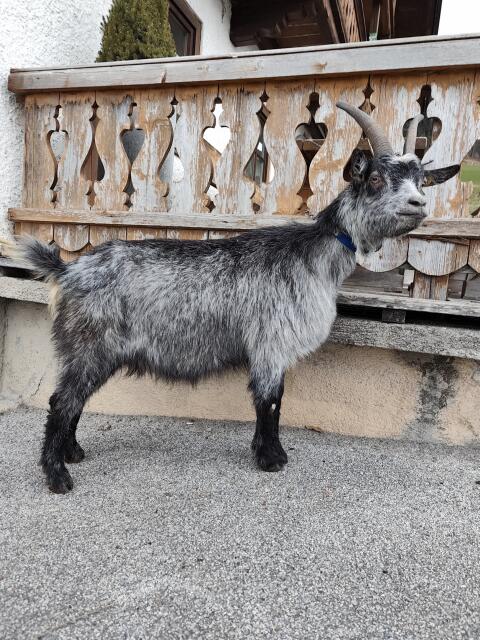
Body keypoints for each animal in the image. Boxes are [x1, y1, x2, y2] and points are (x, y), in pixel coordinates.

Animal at [8, 102, 460, 493]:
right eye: (377, 179)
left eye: (420, 180)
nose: (418, 204)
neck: (313, 253)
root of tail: (67, 270)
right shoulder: (271, 343)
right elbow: (270, 401)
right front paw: (272, 459)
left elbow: (271, 400)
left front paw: (268, 454)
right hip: (90, 344)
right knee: (61, 402)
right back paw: (58, 476)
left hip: (90, 352)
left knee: (73, 401)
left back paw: (74, 452)